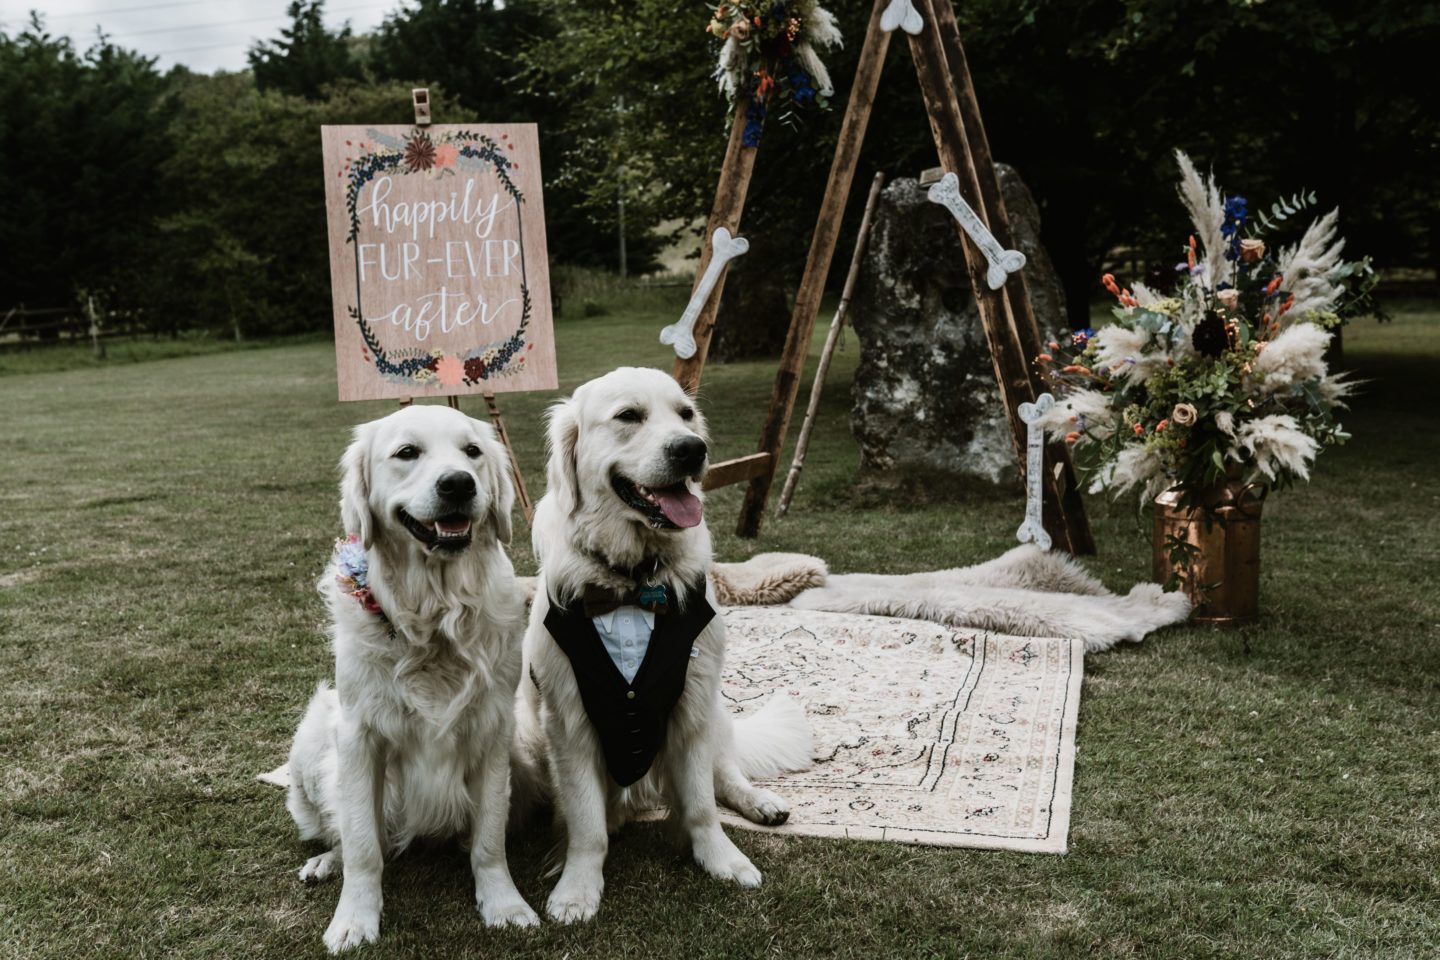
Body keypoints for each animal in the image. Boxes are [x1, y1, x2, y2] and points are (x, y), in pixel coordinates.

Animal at [283, 405, 538, 955]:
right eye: (406, 453)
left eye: (472, 451)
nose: (459, 483)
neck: (436, 616)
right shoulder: (358, 735)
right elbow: (362, 843)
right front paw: (354, 919)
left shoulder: (494, 731)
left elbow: (489, 837)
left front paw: (504, 904)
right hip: (313, 734)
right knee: (347, 834)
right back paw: (325, 861)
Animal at [515, 368, 812, 921]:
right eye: (629, 415)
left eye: (686, 414)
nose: (692, 450)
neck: (634, 583)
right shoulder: (567, 719)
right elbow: (586, 822)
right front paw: (577, 886)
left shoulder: (691, 704)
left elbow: (700, 805)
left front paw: (721, 859)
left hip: (716, 711)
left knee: (725, 773)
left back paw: (760, 802)